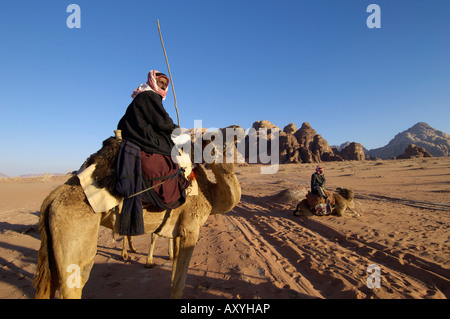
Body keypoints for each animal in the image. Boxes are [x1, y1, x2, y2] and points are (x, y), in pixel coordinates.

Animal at [34, 130, 243, 300]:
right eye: (217, 138)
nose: (237, 129)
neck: (210, 194)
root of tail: (52, 199)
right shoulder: (190, 229)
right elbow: (178, 286)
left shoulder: (178, 230)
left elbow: (172, 275)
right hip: (75, 237)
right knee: (74, 282)